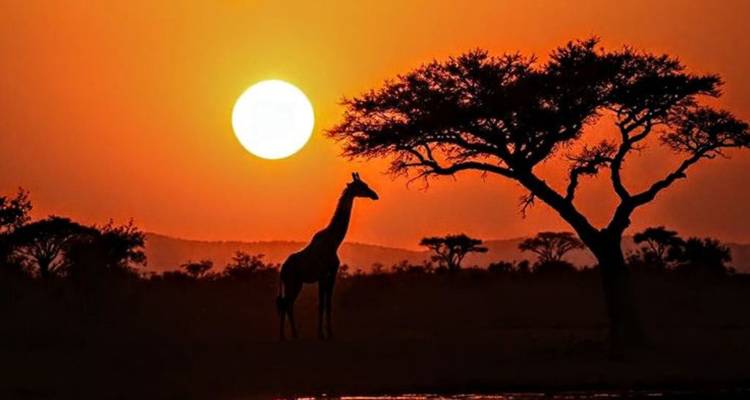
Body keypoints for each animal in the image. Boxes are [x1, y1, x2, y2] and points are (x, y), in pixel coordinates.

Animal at [276, 172, 379, 340]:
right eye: (362, 186)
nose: (375, 195)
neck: (334, 241)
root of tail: (282, 271)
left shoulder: (327, 275)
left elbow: (325, 304)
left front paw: (325, 333)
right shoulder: (326, 274)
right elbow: (323, 304)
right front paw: (325, 334)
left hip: (295, 283)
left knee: (286, 304)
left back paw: (288, 336)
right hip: (293, 283)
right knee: (286, 304)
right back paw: (289, 336)